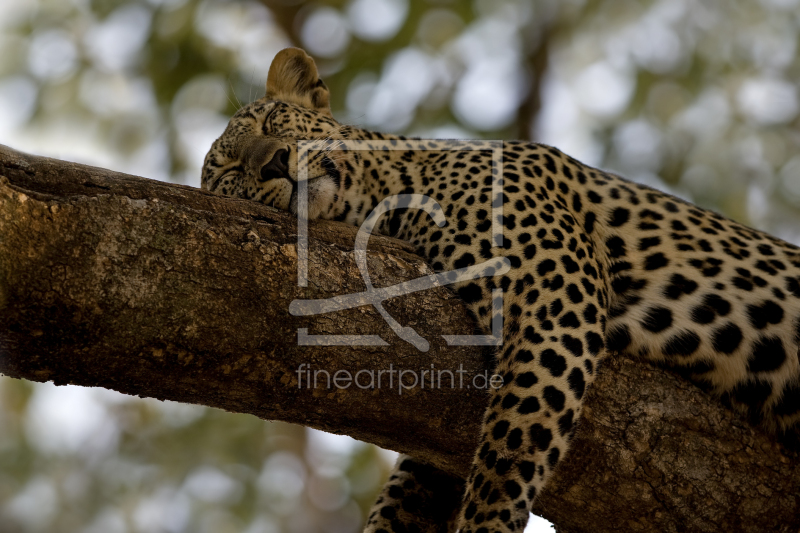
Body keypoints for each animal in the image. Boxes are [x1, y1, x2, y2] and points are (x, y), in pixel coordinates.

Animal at [203, 47, 800, 528]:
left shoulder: (555, 285)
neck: (385, 201)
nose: (273, 161)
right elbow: (412, 488)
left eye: (274, 119)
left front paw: (487, 523)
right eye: (231, 172)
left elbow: (515, 437)